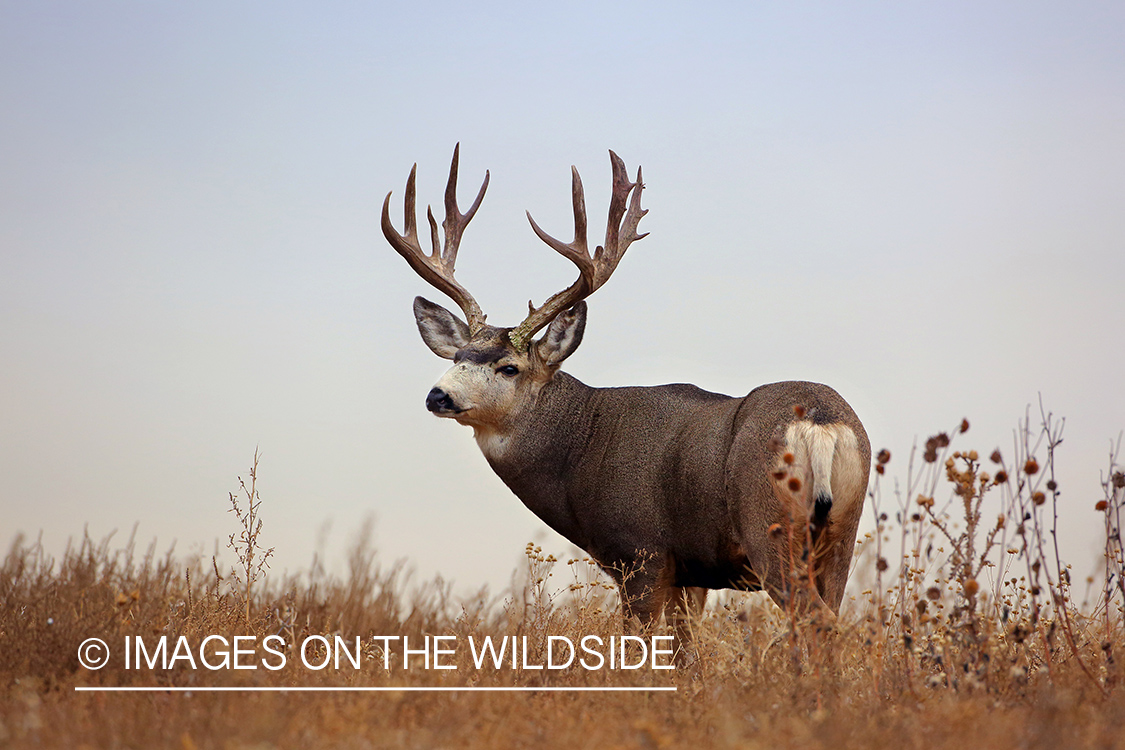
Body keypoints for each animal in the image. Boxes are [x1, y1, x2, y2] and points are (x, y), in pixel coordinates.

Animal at [380, 144, 871, 635]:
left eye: (509, 368)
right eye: (458, 358)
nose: (438, 396)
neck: (581, 449)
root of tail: (821, 422)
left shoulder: (640, 552)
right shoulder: (691, 570)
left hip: (768, 526)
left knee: (819, 622)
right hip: (839, 535)